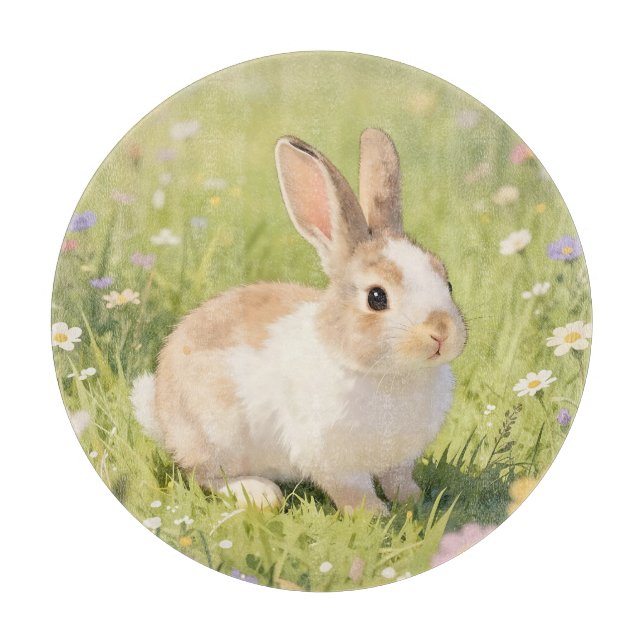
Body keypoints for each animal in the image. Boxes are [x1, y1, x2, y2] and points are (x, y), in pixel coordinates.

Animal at [131, 128, 467, 513]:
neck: (391, 375)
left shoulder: (399, 460)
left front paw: (413, 500)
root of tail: (161, 413)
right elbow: (352, 489)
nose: (441, 333)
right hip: (217, 435)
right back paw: (260, 493)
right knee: (205, 476)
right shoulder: (331, 459)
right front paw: (373, 514)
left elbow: (397, 479)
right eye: (376, 297)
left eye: (448, 283)